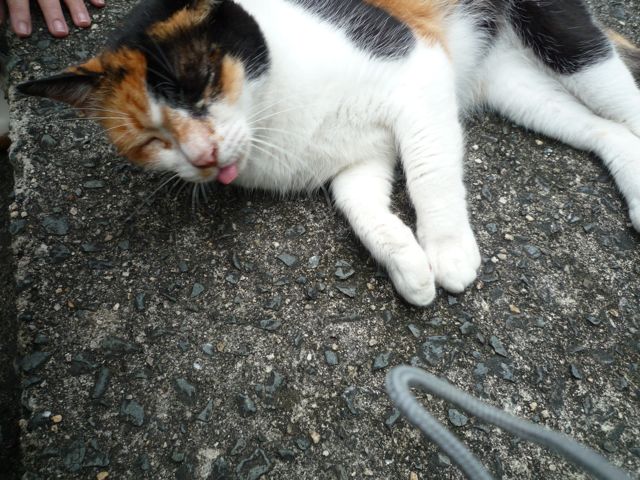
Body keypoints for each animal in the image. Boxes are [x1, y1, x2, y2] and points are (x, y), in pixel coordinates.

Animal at [17, 0, 640, 306]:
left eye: (202, 84)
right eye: (151, 138)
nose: (202, 156)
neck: (273, 115)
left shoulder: (416, 67)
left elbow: (428, 169)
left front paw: (447, 249)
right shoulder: (357, 159)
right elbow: (361, 208)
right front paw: (408, 265)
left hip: (559, 37)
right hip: (513, 85)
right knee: (606, 130)